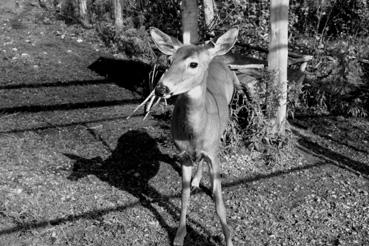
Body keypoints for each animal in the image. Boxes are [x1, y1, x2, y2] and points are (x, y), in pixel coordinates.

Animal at [150, 27, 239, 246]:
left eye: (193, 64)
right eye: (170, 60)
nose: (161, 88)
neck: (196, 134)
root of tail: (217, 58)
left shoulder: (213, 154)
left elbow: (219, 201)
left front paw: (228, 237)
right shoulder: (183, 154)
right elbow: (184, 196)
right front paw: (179, 235)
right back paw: (197, 181)